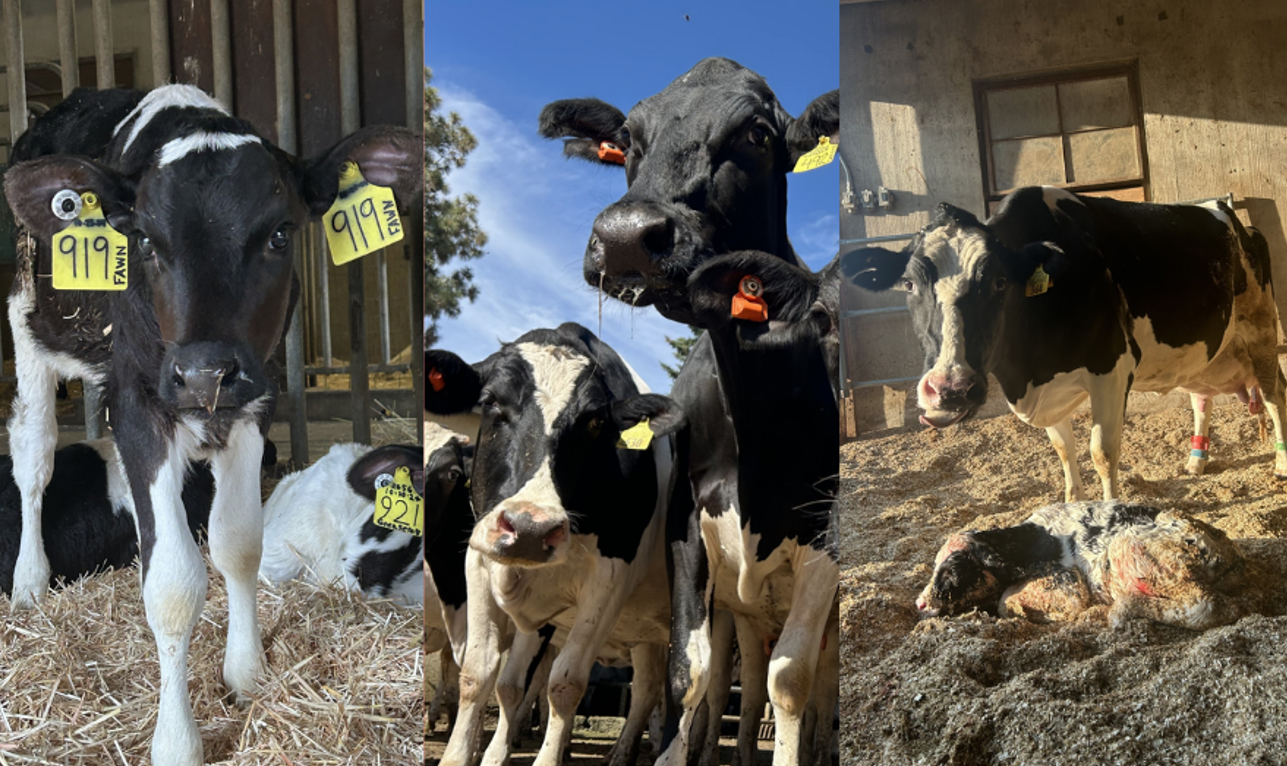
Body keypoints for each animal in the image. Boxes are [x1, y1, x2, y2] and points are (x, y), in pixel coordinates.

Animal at [425, 323, 686, 766]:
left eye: (595, 422)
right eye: (491, 402)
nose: (530, 527)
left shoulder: (609, 581)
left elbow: (565, 684)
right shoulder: (481, 564)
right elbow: (483, 674)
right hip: (646, 634)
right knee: (649, 687)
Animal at [540, 58, 841, 766]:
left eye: (757, 134)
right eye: (626, 139)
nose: (626, 236)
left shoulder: (829, 532)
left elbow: (795, 678)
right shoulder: (688, 518)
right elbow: (693, 672)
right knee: (745, 681)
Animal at [843, 186, 1286, 502]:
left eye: (999, 282)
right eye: (908, 283)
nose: (951, 389)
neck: (1027, 373)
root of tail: (1227, 212)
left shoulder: (1112, 368)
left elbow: (1103, 452)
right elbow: (1062, 449)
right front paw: (1074, 506)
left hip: (1262, 328)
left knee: (1274, 394)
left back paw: (1280, 463)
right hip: (1205, 352)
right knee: (1201, 397)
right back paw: (1196, 462)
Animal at [917, 501, 1248, 630]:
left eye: (953, 572)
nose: (920, 603)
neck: (1035, 540)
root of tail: (1229, 554)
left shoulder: (1068, 585)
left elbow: (1005, 602)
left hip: (1135, 553)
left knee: (1210, 605)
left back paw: (1117, 610)